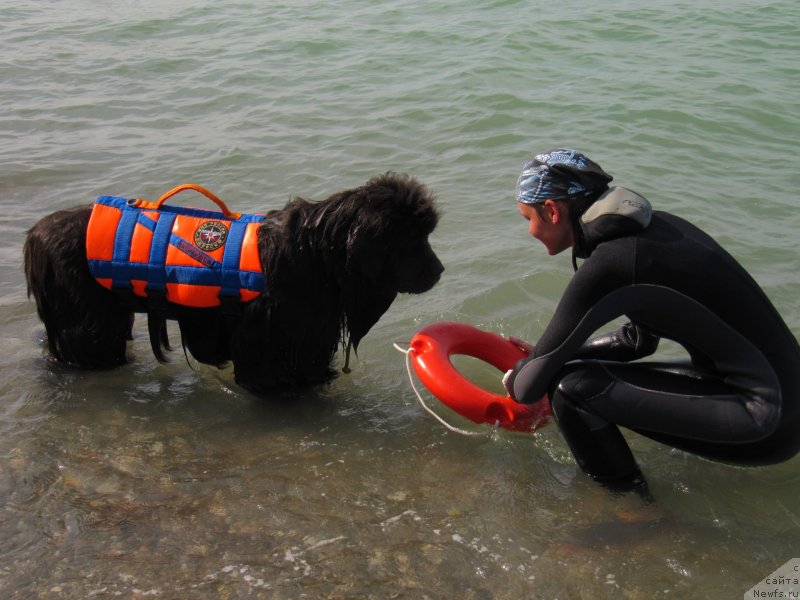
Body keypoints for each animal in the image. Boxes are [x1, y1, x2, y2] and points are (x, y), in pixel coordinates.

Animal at [23, 172, 444, 394]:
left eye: (426, 234)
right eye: (412, 240)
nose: (440, 270)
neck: (317, 253)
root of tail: (37, 234)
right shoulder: (272, 332)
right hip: (90, 315)